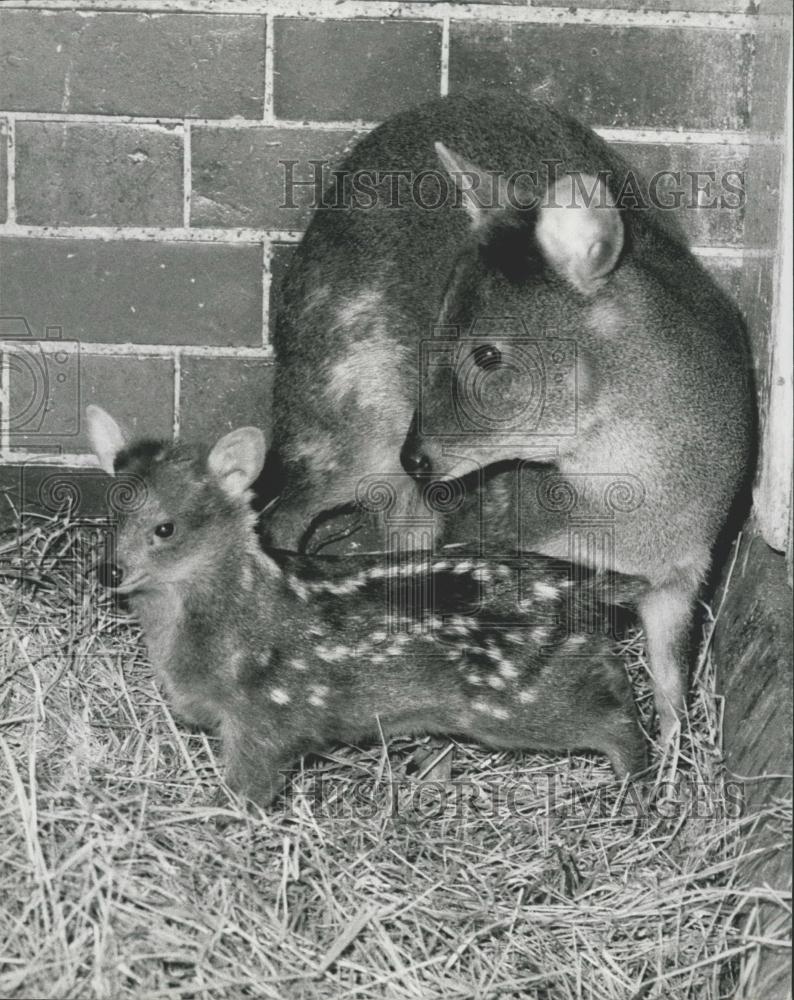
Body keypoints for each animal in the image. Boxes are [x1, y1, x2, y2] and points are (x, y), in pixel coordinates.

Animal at [88, 406, 644, 804]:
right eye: (111, 513)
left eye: (166, 527)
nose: (108, 571)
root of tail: (582, 586)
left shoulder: (265, 713)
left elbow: (250, 788)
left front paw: (219, 820)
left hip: (515, 702)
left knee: (615, 716)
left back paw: (637, 793)